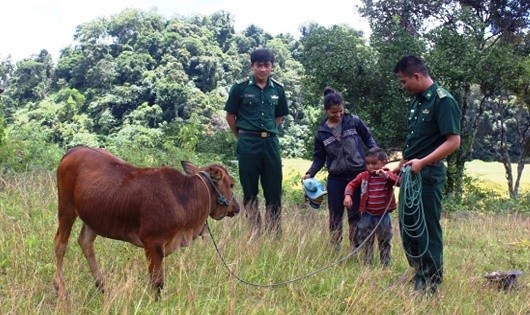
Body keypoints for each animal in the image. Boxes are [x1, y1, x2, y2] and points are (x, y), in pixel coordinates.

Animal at [52, 146, 238, 298]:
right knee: (60, 244)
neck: (184, 196)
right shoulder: (152, 242)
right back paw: (61, 289)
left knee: (85, 242)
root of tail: (74, 150)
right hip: (66, 208)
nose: (236, 208)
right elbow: (157, 283)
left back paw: (103, 287)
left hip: (93, 217)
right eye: (231, 184)